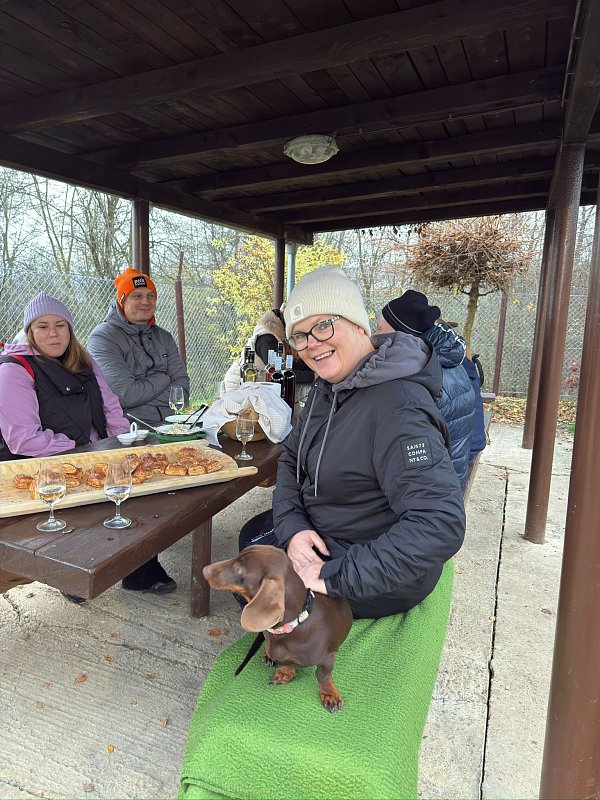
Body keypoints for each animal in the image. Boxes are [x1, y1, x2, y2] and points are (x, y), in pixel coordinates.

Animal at [203, 544, 353, 712]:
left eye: (239, 570)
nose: (205, 570)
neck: (290, 629)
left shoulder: (327, 659)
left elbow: (323, 676)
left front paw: (329, 694)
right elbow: (286, 663)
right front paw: (285, 672)